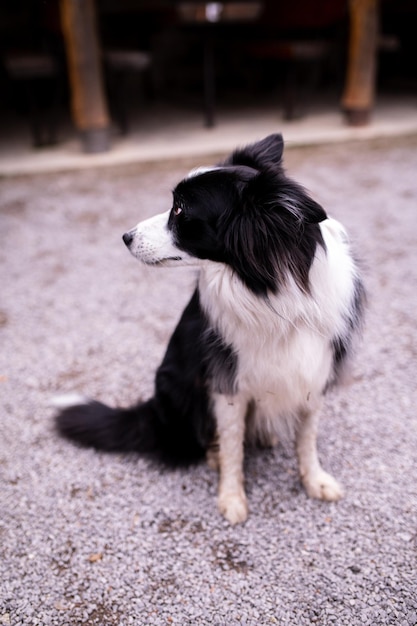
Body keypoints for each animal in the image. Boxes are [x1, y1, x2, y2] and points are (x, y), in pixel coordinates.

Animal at [54, 134, 364, 524]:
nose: (125, 236)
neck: (272, 292)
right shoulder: (226, 380)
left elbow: (306, 437)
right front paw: (231, 497)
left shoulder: (315, 369)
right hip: (177, 386)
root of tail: (153, 412)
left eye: (180, 210)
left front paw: (315, 480)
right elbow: (231, 443)